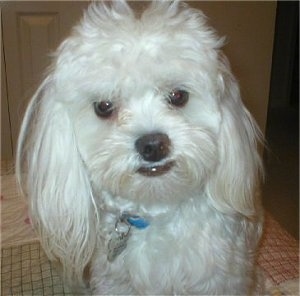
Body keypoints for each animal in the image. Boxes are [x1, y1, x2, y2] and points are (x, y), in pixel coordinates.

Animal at [17, 1, 264, 294]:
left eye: (178, 96)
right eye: (104, 106)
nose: (153, 145)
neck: (155, 212)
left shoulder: (217, 281)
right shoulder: (116, 282)